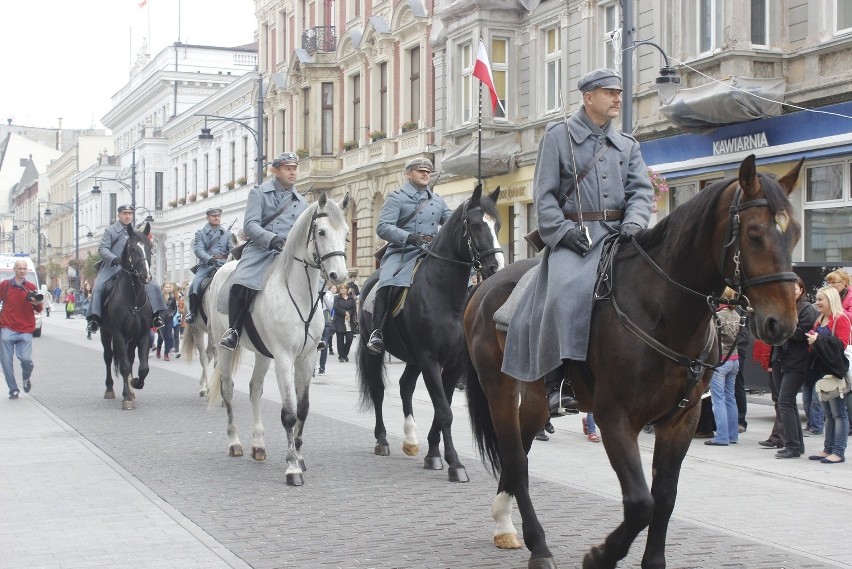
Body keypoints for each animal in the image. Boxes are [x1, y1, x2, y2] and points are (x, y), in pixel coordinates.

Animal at [100, 222, 155, 408]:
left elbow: (143, 367)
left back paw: (130, 390)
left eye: (150, 247)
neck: (134, 300)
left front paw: (135, 384)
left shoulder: (143, 334)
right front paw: (126, 399)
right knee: (108, 357)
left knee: (130, 359)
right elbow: (123, 366)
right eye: (132, 248)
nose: (146, 276)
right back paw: (110, 389)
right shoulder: (119, 333)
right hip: (105, 333)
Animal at [206, 193, 350, 486]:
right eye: (321, 231)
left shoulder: (307, 358)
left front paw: (299, 456)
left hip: (263, 353)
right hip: (224, 349)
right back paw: (235, 442)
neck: (300, 294)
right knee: (228, 389)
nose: (339, 276)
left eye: (347, 234)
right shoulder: (284, 358)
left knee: (254, 389)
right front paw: (292, 466)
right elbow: (289, 414)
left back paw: (258, 445)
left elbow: (303, 409)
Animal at [354, 184, 502, 482]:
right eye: (477, 225)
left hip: (412, 358)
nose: (496, 267)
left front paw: (434, 454)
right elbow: (444, 411)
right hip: (374, 351)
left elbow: (443, 407)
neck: (444, 294)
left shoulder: (454, 363)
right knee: (378, 391)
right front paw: (455, 463)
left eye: (498, 225)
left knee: (405, 386)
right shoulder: (430, 359)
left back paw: (411, 440)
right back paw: (382, 440)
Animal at [462, 153, 804, 564]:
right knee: (514, 456)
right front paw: (600, 555)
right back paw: (538, 545)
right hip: (499, 390)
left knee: (522, 456)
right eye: (754, 233)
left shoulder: (681, 420)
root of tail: (483, 289)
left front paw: (651, 560)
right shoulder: (615, 417)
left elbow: (665, 497)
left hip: (534, 396)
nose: (781, 323)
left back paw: (505, 523)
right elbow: (641, 503)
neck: (661, 307)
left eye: (795, 233)